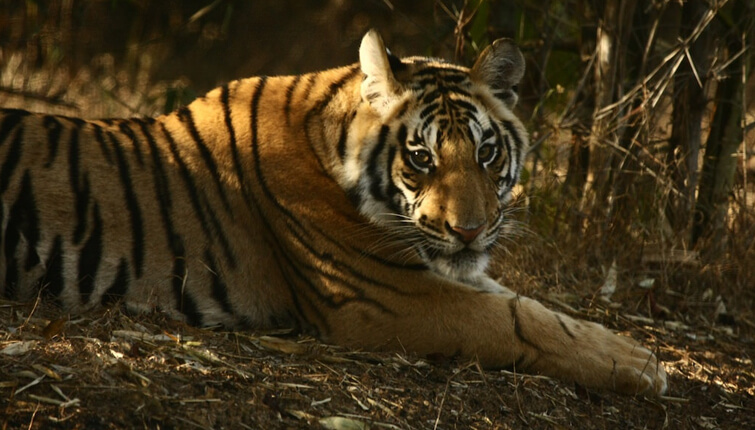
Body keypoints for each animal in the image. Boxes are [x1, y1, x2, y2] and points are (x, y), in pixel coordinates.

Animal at [1, 29, 668, 394]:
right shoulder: (388, 297)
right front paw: (643, 364)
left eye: (486, 151)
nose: (470, 230)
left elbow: (534, 305)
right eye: (421, 156)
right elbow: (517, 320)